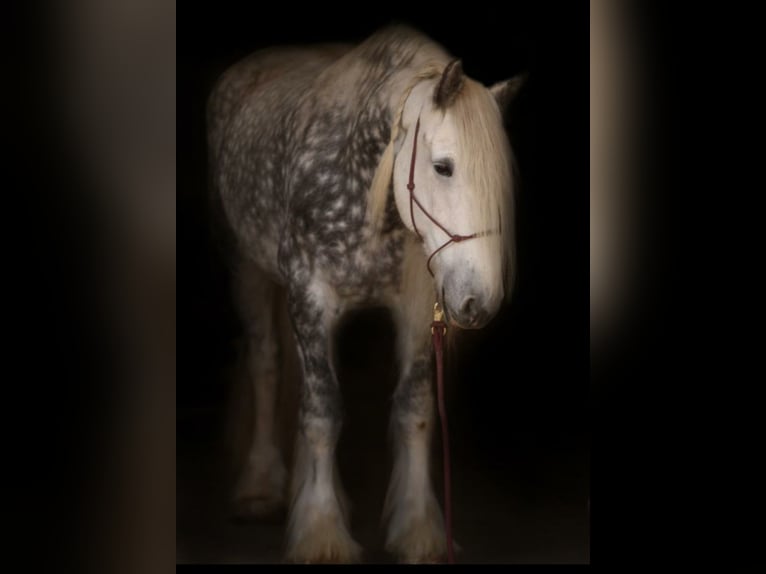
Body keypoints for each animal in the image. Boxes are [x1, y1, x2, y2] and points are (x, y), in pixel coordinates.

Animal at [207, 25, 524, 563]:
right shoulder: (310, 297)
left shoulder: (417, 310)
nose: (478, 301)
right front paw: (321, 533)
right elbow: (322, 411)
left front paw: (419, 529)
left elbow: (415, 410)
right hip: (245, 265)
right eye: (443, 167)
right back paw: (260, 487)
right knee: (266, 363)